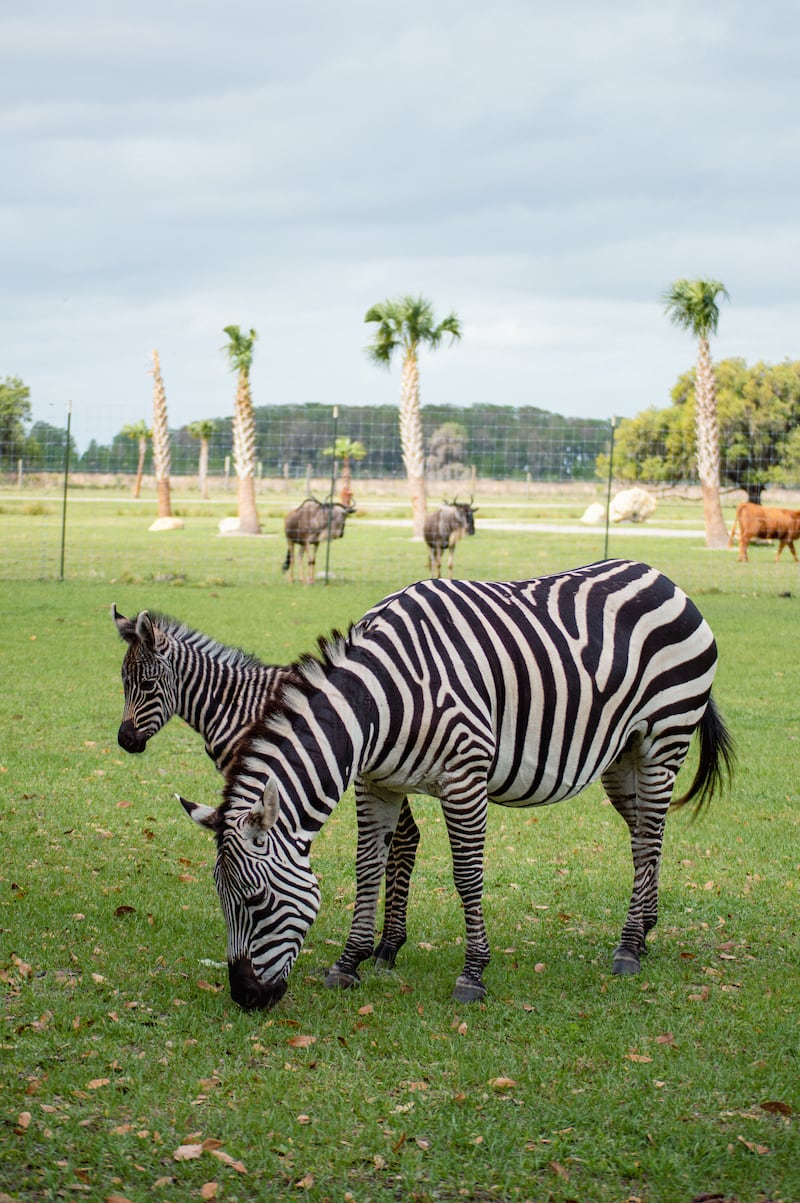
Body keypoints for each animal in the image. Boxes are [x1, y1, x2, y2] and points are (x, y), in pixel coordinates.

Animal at [113, 606, 423, 962]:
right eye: (124, 683)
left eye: (148, 684)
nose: (125, 741)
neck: (231, 705)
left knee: (403, 839)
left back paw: (389, 945)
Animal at [178, 558, 731, 1010]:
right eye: (221, 900)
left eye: (257, 902)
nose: (245, 998)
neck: (380, 704)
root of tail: (661, 576)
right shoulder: (375, 783)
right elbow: (368, 869)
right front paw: (349, 963)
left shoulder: (464, 776)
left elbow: (466, 876)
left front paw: (473, 974)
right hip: (623, 755)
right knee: (645, 838)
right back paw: (646, 929)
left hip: (665, 738)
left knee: (649, 839)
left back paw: (630, 946)